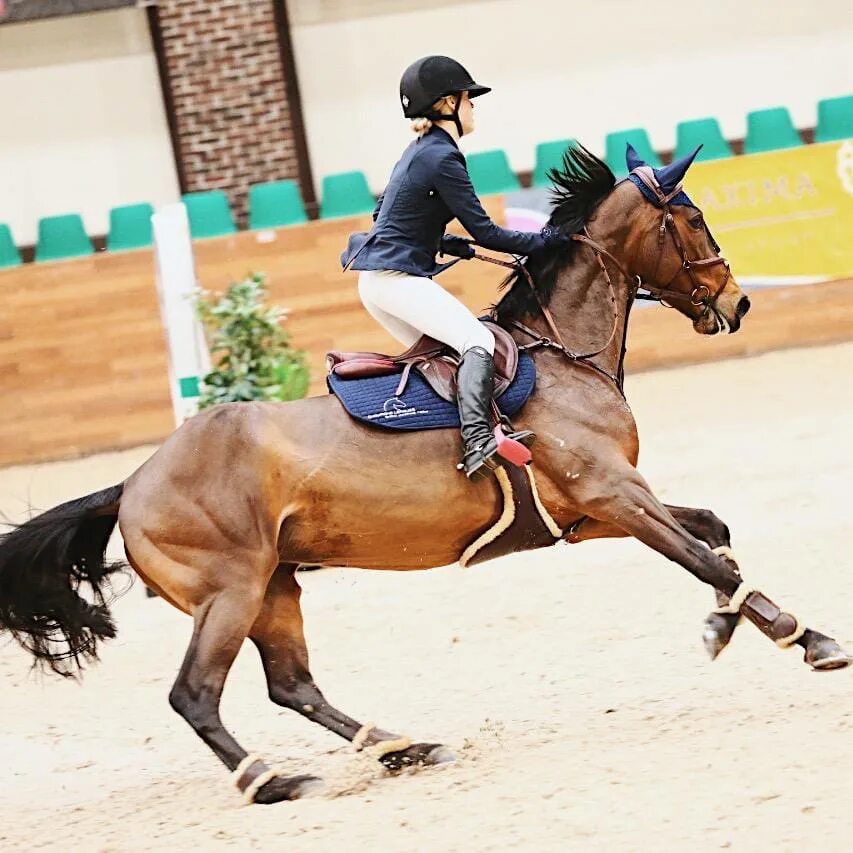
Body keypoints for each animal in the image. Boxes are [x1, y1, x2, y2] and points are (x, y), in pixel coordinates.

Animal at [3, 143, 848, 804]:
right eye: (694, 219)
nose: (736, 302)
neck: (561, 355)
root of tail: (131, 483)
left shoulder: (593, 512)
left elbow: (711, 534)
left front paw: (720, 625)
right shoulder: (613, 494)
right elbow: (702, 553)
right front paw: (806, 637)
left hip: (275, 587)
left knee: (291, 683)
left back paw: (401, 746)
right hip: (229, 592)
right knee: (196, 694)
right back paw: (272, 778)